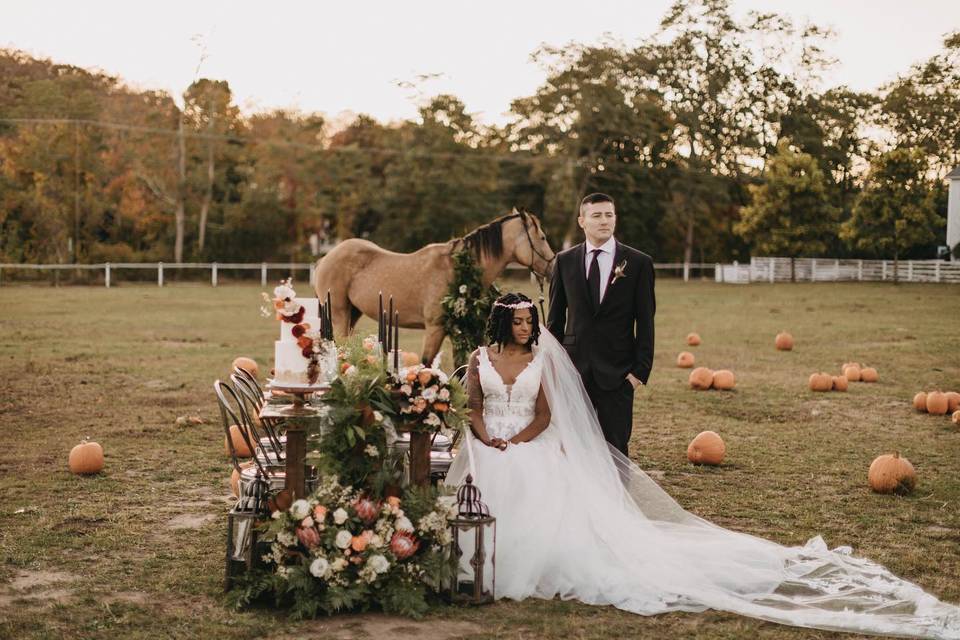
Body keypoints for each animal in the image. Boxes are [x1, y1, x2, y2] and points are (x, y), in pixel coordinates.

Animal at [314, 210, 556, 364]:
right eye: (543, 237)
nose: (552, 267)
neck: (457, 267)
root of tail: (325, 259)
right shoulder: (435, 328)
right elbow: (426, 364)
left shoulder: (462, 330)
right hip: (340, 314)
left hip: (353, 314)